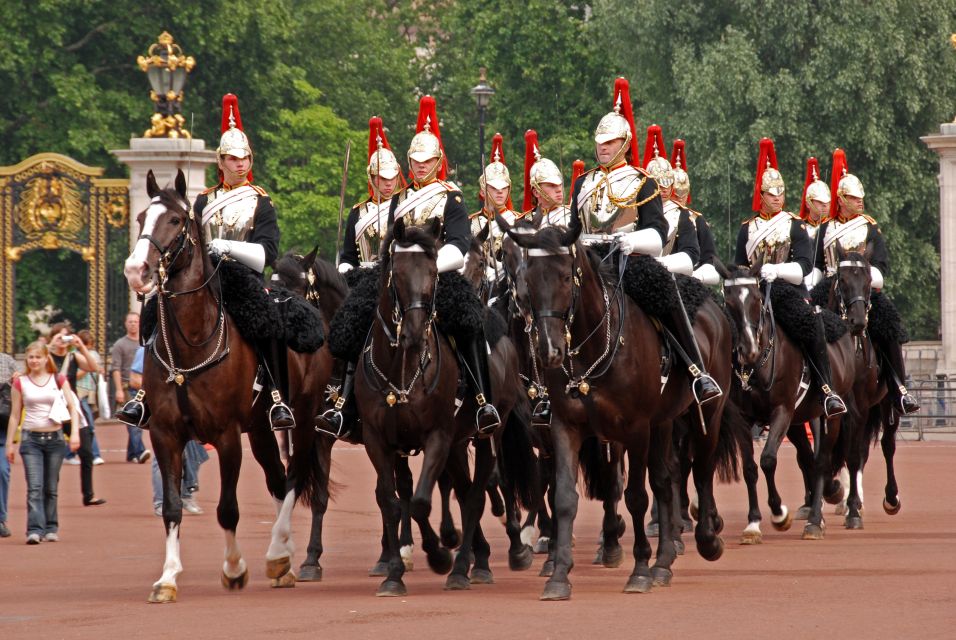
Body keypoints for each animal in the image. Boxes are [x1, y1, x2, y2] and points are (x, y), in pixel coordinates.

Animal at [124, 170, 332, 600]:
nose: (136, 270)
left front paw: (234, 568)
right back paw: (282, 559)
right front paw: (167, 578)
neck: (189, 345)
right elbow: (172, 507)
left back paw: (277, 552)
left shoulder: (227, 436)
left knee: (293, 476)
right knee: (276, 478)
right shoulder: (164, 434)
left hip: (304, 420)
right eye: (140, 218)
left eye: (175, 220)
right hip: (263, 430)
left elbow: (227, 509)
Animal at [496, 221, 736, 600]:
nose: (549, 349)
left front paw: (638, 570)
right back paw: (663, 563)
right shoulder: (564, 427)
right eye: (527, 275)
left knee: (701, 469)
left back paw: (706, 539)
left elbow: (635, 496)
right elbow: (563, 496)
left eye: (566, 276)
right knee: (666, 479)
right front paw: (558, 574)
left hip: (707, 414)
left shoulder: (635, 428)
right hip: (663, 422)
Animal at [720, 262, 856, 540]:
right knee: (808, 458)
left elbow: (768, 460)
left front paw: (779, 513)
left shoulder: (781, 411)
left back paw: (815, 520)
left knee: (821, 460)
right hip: (800, 419)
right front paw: (753, 523)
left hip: (830, 416)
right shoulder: (743, 419)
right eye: (728, 301)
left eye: (757, 299)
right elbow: (749, 467)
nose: (748, 350)